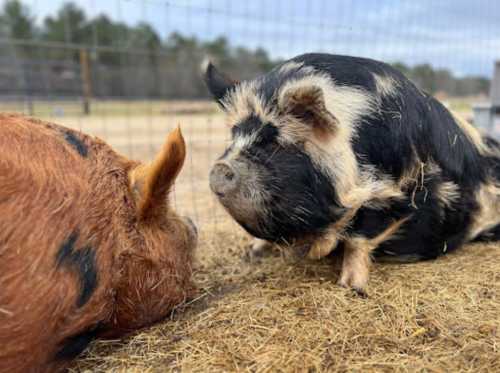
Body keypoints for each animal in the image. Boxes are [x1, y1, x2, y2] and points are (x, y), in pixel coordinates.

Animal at [202, 53, 500, 290]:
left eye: (276, 142)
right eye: (233, 136)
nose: (219, 169)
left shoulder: (398, 195)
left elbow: (358, 239)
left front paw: (350, 288)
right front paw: (251, 254)